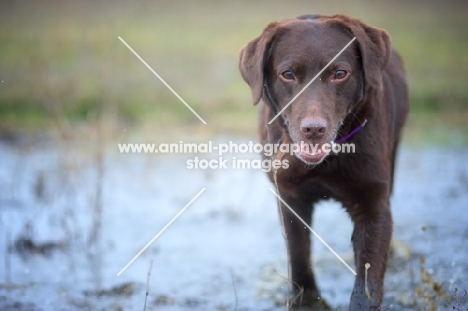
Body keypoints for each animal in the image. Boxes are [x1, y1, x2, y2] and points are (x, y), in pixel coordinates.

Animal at [239, 14, 408, 310]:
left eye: (339, 73)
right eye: (288, 74)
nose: (313, 129)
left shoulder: (374, 206)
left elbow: (367, 279)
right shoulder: (290, 198)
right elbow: (298, 256)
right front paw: (307, 300)